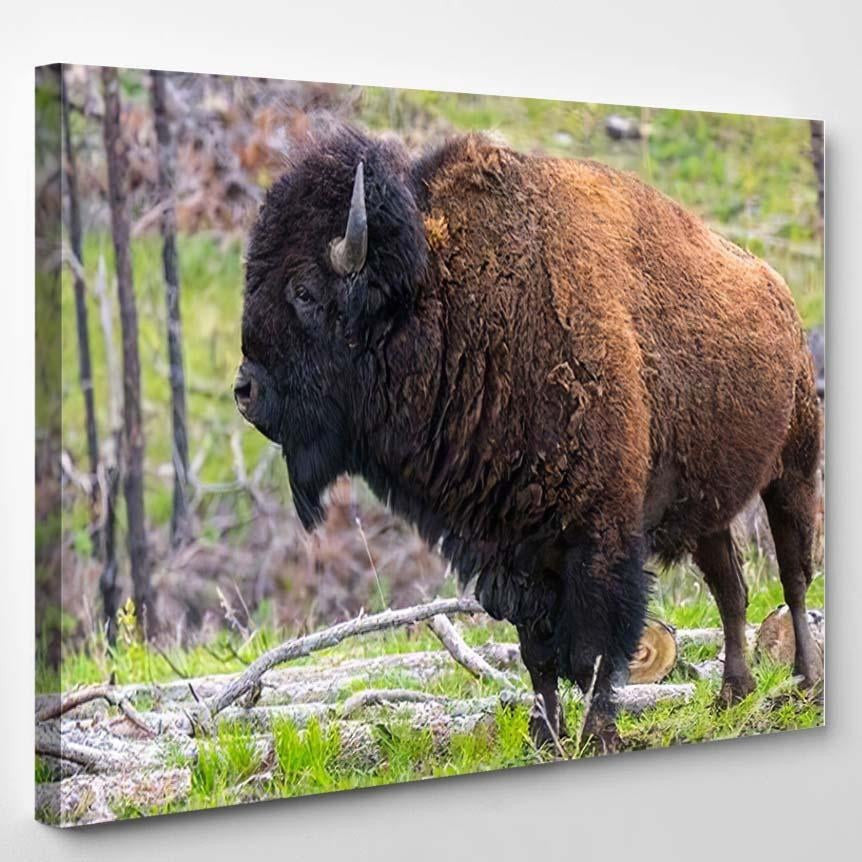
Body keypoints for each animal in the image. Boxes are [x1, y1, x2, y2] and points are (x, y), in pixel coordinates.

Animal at [235, 125, 822, 751]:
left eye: (304, 291)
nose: (244, 390)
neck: (446, 298)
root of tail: (781, 294)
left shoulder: (599, 538)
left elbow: (592, 649)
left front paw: (597, 735)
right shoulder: (509, 543)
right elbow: (536, 651)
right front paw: (545, 735)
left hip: (794, 471)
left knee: (794, 577)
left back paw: (805, 681)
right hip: (708, 510)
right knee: (731, 589)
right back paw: (733, 694)